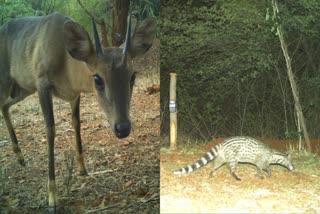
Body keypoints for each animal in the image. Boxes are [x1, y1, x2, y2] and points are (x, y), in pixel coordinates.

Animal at [0, 12, 156, 212]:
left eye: (133, 76)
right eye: (97, 78)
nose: (122, 128)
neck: (66, 64)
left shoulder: (73, 95)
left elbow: (76, 124)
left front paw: (83, 169)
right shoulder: (42, 83)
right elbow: (50, 129)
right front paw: (52, 198)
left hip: (22, 88)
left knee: (5, 106)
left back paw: (20, 157)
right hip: (8, 81)